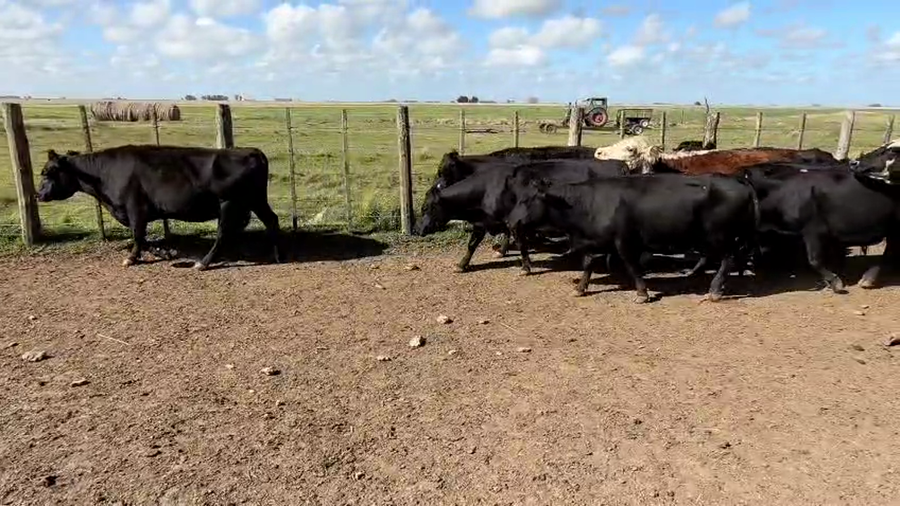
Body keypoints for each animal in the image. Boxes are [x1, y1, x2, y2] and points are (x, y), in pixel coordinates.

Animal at [36, 145, 282, 270]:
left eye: (48, 172)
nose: (39, 194)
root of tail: (251, 151)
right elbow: (143, 238)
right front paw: (164, 251)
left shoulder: (136, 209)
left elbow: (138, 236)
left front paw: (132, 258)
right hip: (255, 200)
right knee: (271, 220)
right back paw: (276, 253)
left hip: (229, 203)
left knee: (223, 233)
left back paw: (203, 263)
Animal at [416, 158, 628, 273]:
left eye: (425, 208)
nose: (418, 229)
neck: (487, 188)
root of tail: (619, 164)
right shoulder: (483, 223)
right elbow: (472, 244)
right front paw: (462, 264)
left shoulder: (513, 222)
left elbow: (520, 243)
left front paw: (525, 266)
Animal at [505, 173, 760, 303]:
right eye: (517, 198)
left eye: (527, 200)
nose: (510, 222)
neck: (586, 203)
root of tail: (740, 182)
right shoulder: (591, 241)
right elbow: (588, 264)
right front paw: (580, 288)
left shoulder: (625, 242)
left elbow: (633, 267)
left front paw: (641, 293)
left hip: (720, 236)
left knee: (727, 260)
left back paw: (715, 290)